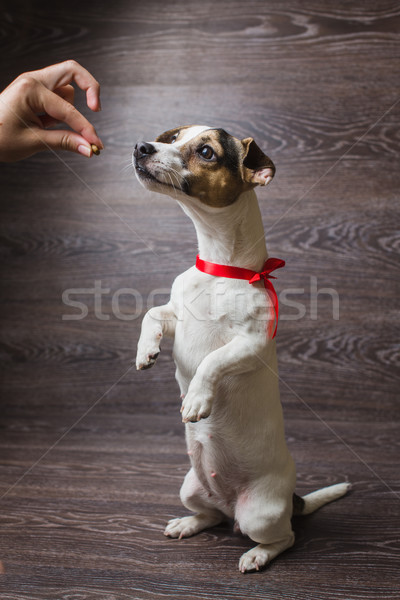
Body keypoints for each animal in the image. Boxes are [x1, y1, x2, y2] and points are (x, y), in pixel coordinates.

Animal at [132, 125, 350, 572]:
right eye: (174, 137)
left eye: (206, 152)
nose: (141, 147)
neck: (220, 269)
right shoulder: (176, 318)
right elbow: (152, 314)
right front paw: (146, 352)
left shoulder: (251, 344)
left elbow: (213, 361)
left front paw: (197, 399)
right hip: (190, 487)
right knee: (211, 516)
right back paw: (188, 523)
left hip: (259, 514)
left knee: (284, 538)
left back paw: (257, 555)